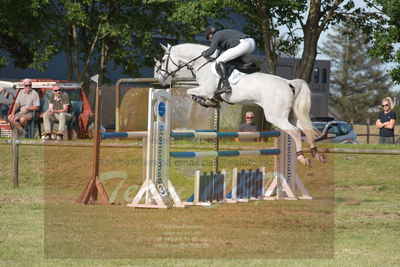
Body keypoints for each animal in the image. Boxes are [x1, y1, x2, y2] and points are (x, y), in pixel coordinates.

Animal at [155, 43, 326, 166]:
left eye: (163, 61)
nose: (161, 79)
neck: (202, 64)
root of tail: (289, 83)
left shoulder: (206, 90)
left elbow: (189, 92)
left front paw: (207, 102)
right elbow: (191, 92)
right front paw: (212, 102)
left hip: (276, 117)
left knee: (296, 132)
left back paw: (302, 158)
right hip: (291, 116)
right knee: (304, 128)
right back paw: (317, 154)